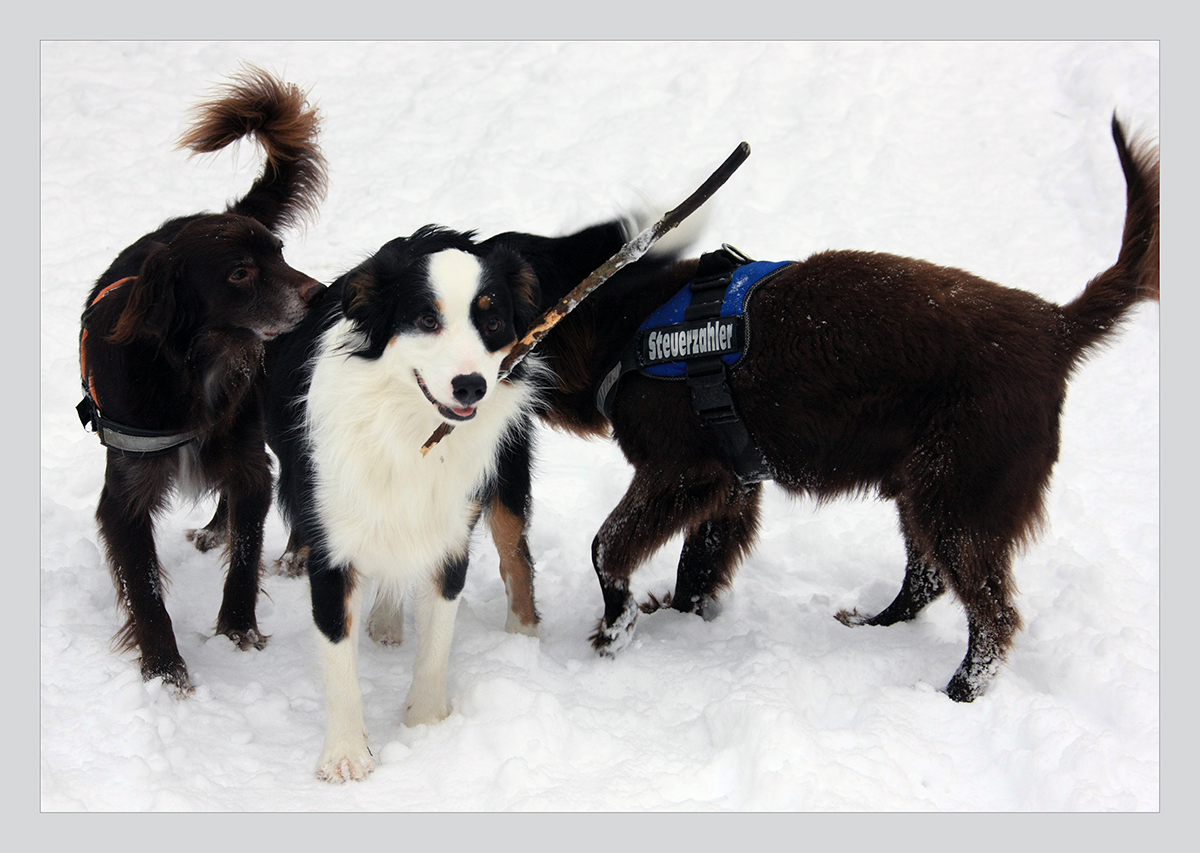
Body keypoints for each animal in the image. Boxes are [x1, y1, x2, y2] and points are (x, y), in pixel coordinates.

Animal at [79, 66, 326, 695]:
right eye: (240, 273)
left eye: (279, 251)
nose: (319, 295)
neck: (194, 368)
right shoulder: (125, 495)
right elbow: (144, 588)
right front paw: (166, 670)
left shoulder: (247, 458)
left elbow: (245, 554)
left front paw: (238, 629)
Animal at [266, 218, 633, 782]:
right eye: (425, 319)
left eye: (493, 321)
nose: (471, 386)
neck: (410, 428)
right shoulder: (331, 541)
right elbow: (337, 656)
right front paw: (346, 757)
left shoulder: (450, 531)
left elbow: (437, 641)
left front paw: (425, 726)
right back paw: (387, 620)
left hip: (502, 471)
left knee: (515, 557)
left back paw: (521, 640)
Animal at [530, 116, 1156, 705]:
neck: (624, 323)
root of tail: (1055, 327)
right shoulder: (731, 484)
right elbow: (697, 565)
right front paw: (681, 620)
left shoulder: (681, 472)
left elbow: (607, 547)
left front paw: (615, 630)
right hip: (925, 488)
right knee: (926, 581)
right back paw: (874, 626)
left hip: (959, 499)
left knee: (992, 614)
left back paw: (957, 693)